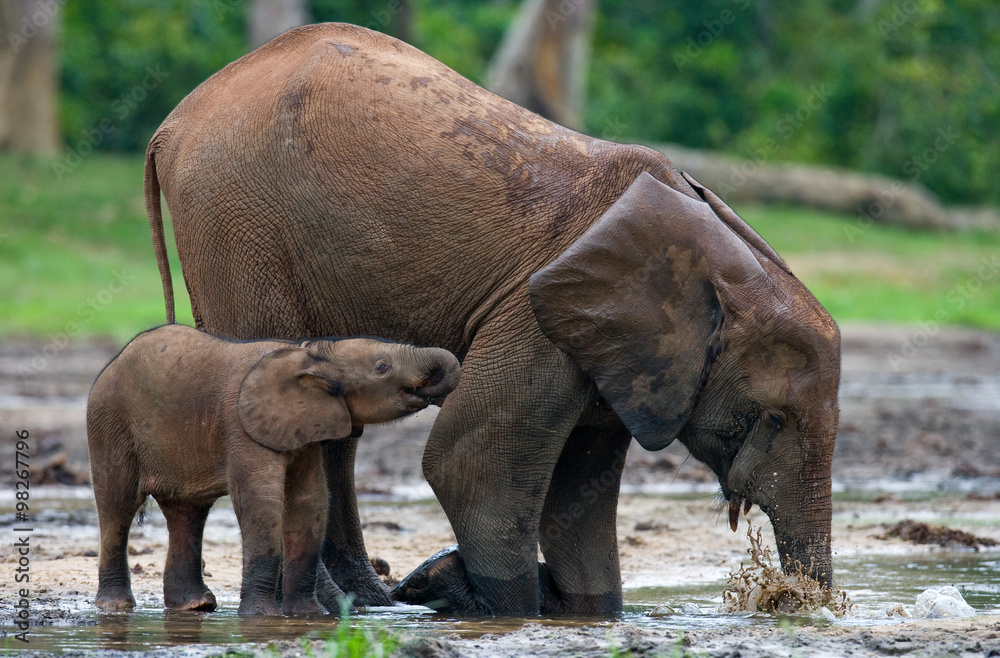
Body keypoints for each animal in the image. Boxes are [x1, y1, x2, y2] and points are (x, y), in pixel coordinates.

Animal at [87, 324, 460, 615]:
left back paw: (195, 606)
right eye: (383, 366)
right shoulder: (243, 428)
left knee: (187, 514)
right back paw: (116, 607)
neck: (313, 352)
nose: (437, 395)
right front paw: (261, 617)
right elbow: (261, 502)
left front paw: (307, 615)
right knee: (117, 505)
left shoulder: (303, 431)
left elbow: (309, 501)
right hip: (109, 423)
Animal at [143, 23, 841, 615]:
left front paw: (582, 612)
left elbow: (579, 493)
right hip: (238, 226)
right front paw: (495, 606)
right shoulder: (534, 316)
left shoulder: (613, 352)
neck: (717, 256)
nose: (799, 605)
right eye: (773, 418)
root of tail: (170, 124)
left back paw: (366, 602)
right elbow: (473, 466)